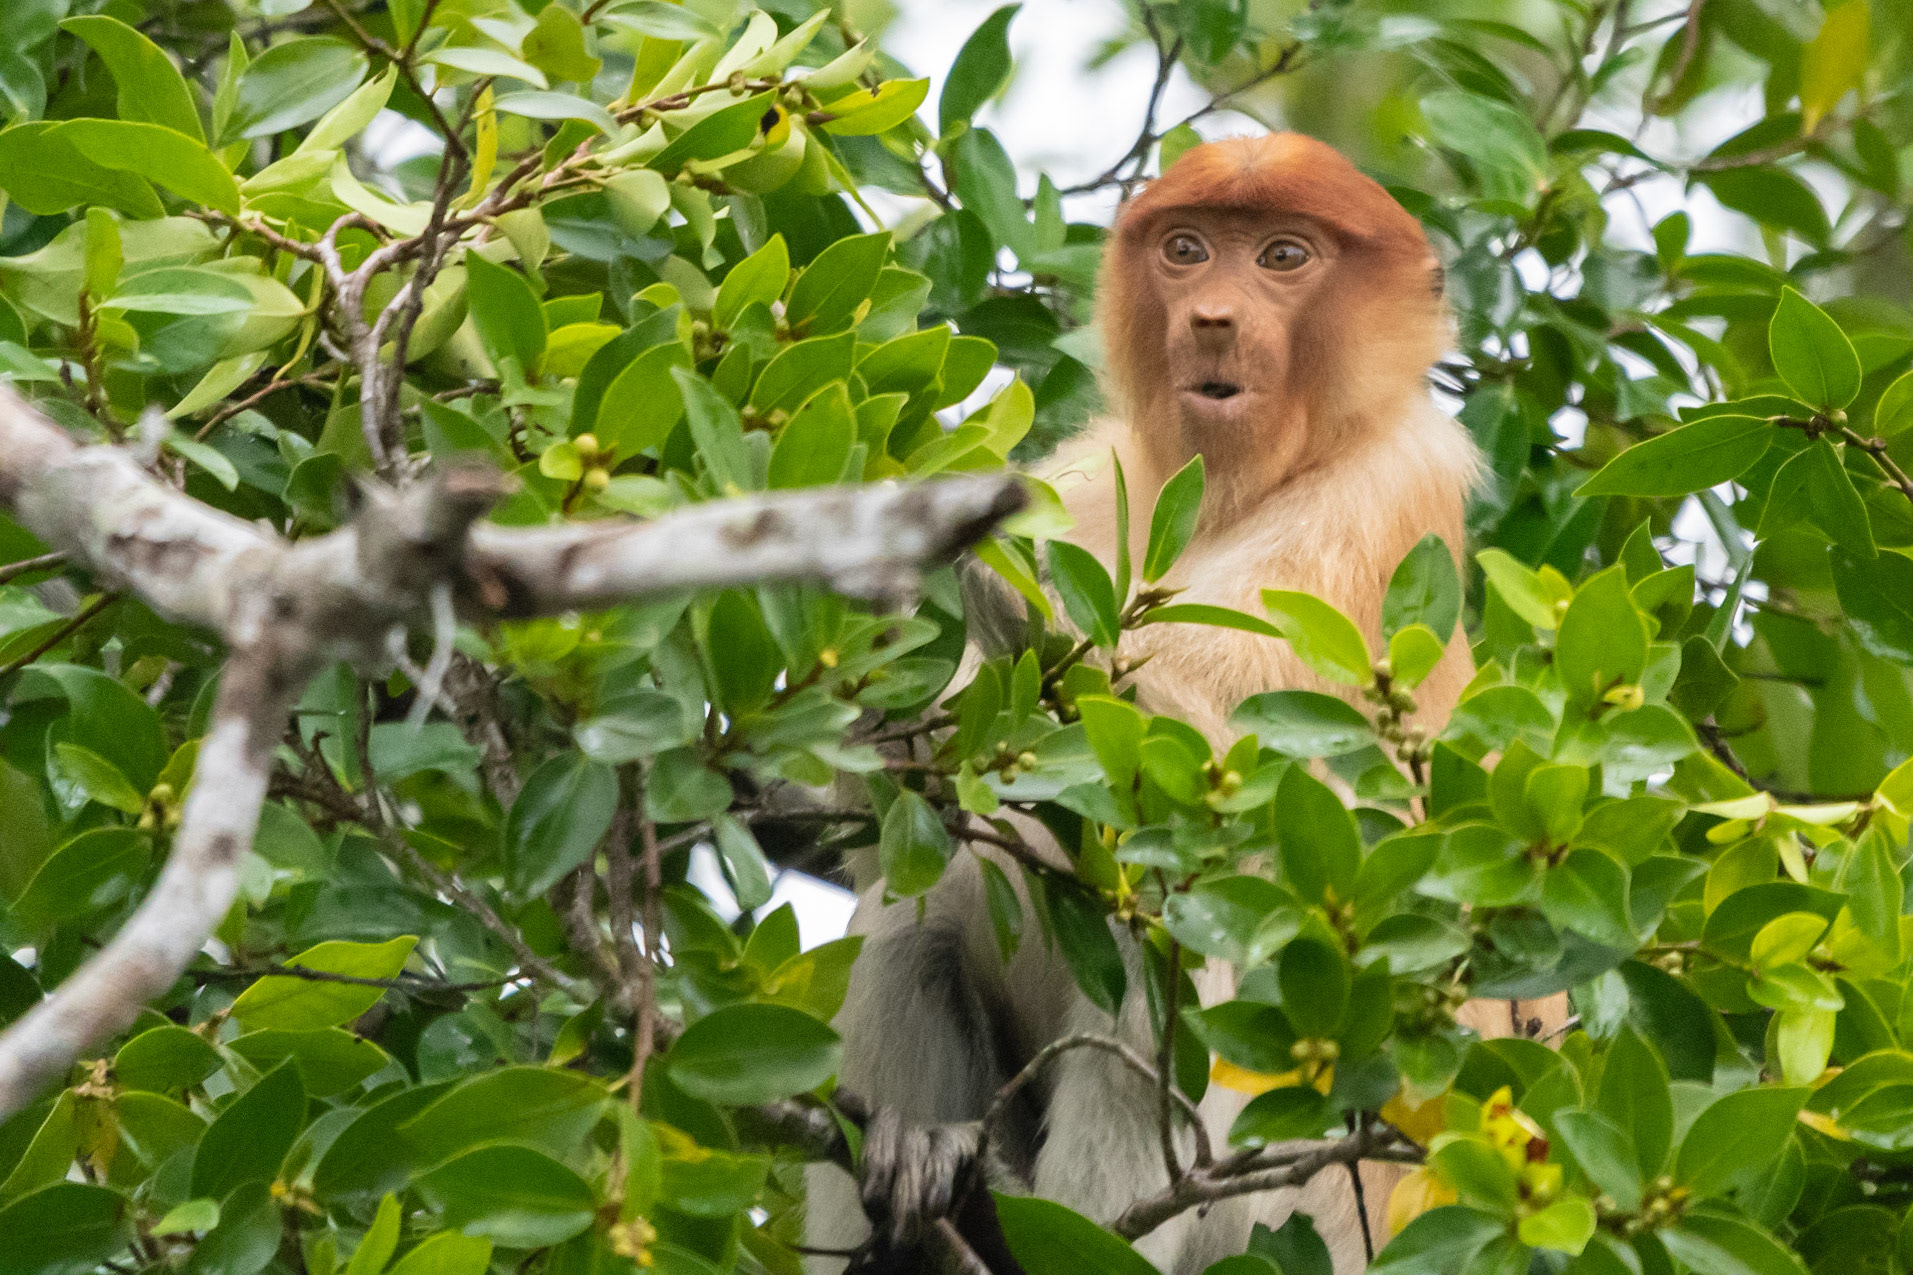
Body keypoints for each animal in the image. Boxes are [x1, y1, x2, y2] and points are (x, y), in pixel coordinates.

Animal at [805, 134, 1537, 1275]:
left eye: (1283, 256)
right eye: (1186, 250)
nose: (1212, 320)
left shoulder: (1386, 491)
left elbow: (1255, 801)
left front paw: (986, 581)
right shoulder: (1092, 473)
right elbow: (891, 834)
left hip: (1302, 1219)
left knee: (1170, 936)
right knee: (909, 911)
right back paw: (922, 1175)